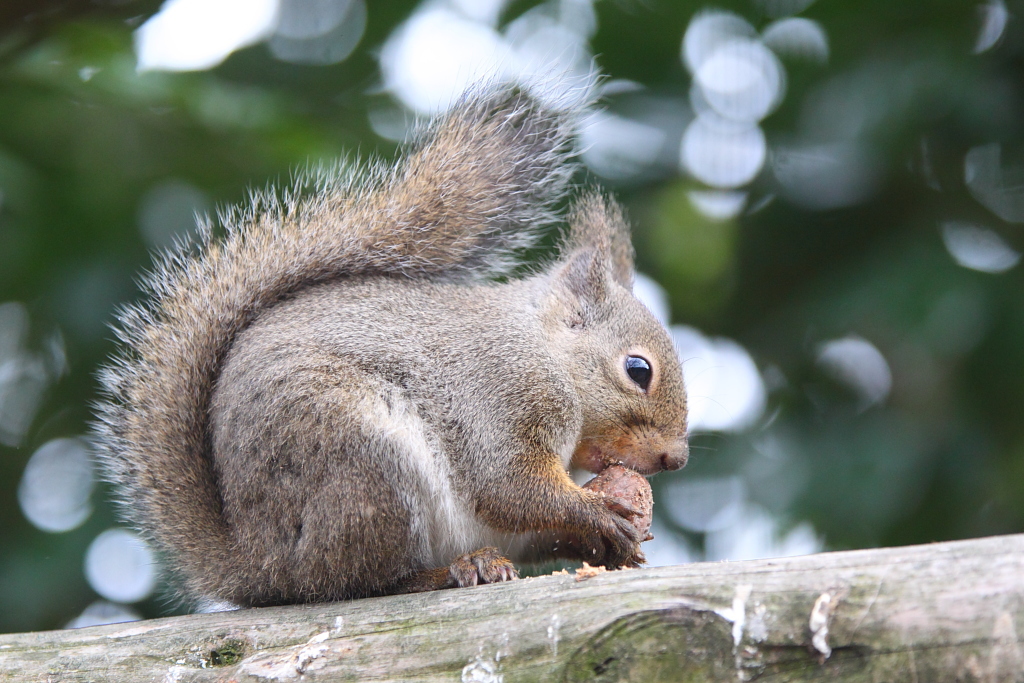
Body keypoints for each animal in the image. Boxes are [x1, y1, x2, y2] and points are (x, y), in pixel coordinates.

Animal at [94, 83, 688, 610]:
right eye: (638, 369)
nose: (675, 459)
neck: (545, 351)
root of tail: (258, 563)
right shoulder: (503, 393)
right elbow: (508, 485)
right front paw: (597, 513)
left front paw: (614, 542)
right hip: (363, 465)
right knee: (356, 581)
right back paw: (451, 571)